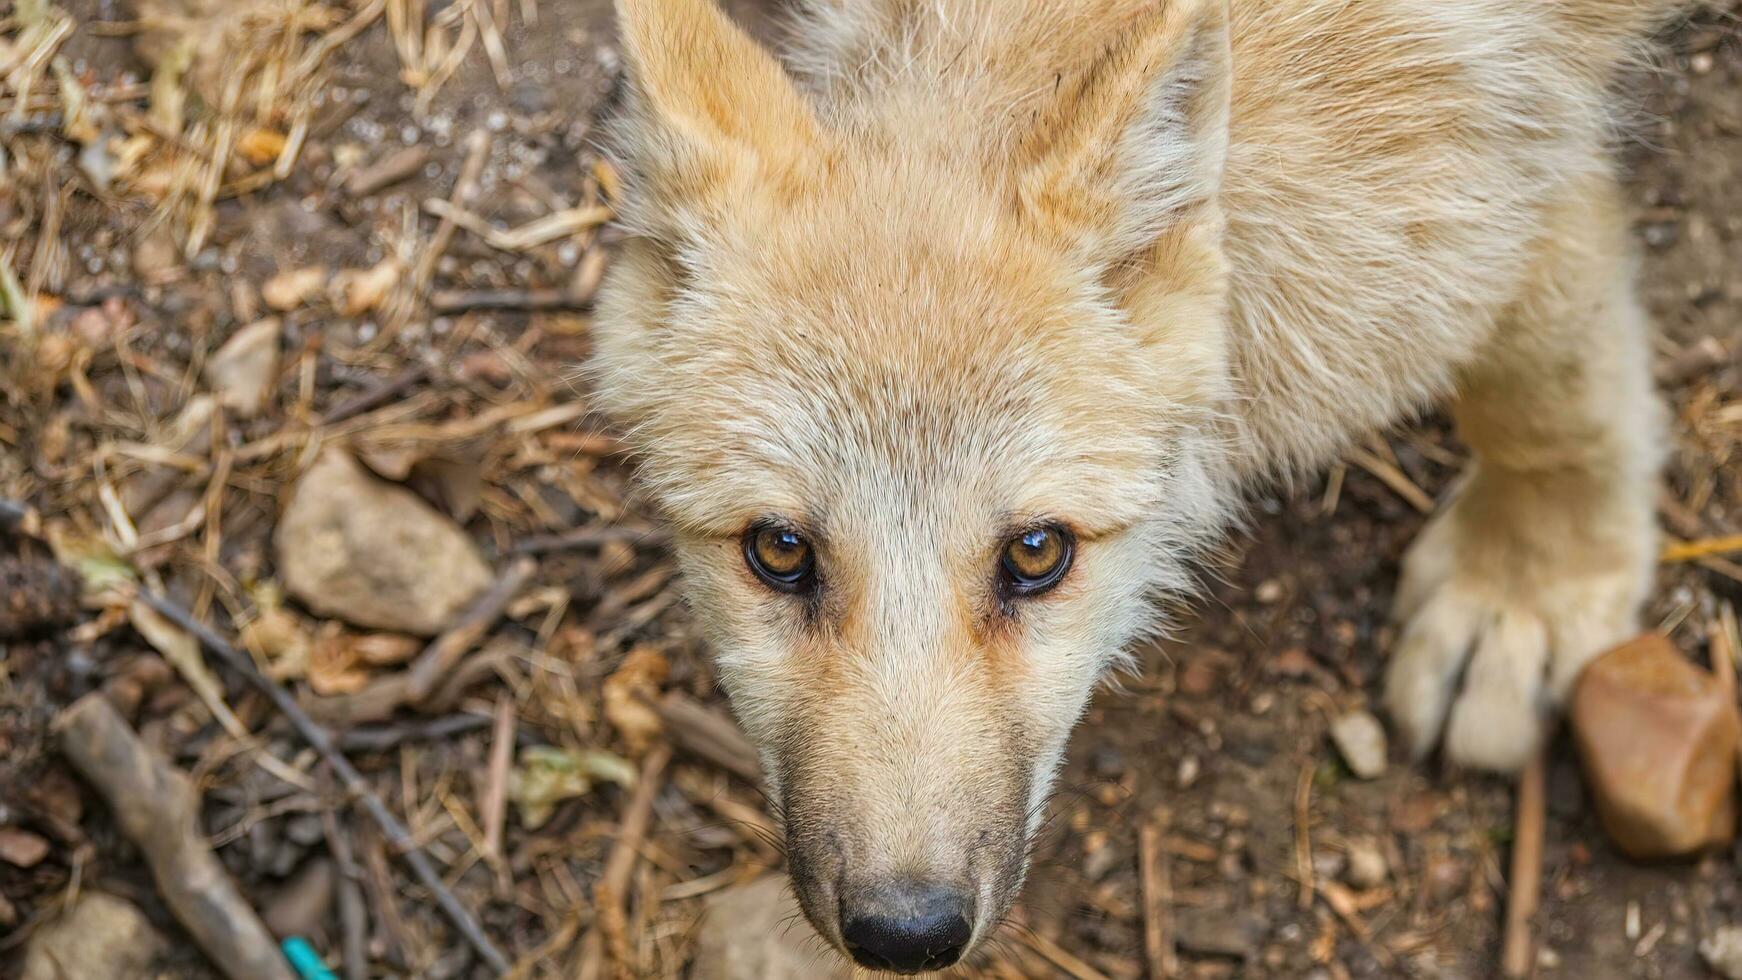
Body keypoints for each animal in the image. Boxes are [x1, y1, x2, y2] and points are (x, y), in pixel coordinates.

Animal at [588, 0, 1686, 974]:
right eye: (779, 550)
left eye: (1036, 552)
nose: (906, 934)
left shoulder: (1518, 184)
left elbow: (1547, 401)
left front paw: (1523, 592)